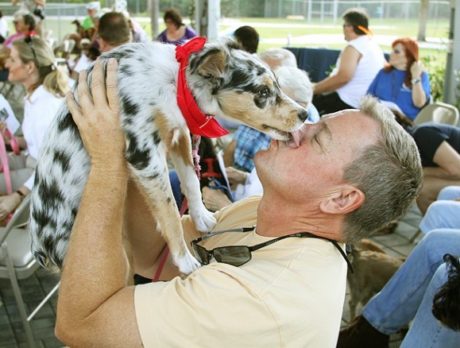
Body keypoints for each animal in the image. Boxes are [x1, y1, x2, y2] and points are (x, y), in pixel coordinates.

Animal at [30, 39, 308, 274]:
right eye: (262, 92)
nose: (305, 114)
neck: (173, 84)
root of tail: (40, 249)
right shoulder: (144, 155)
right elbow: (170, 211)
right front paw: (185, 259)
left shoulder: (179, 134)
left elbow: (192, 182)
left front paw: (201, 217)